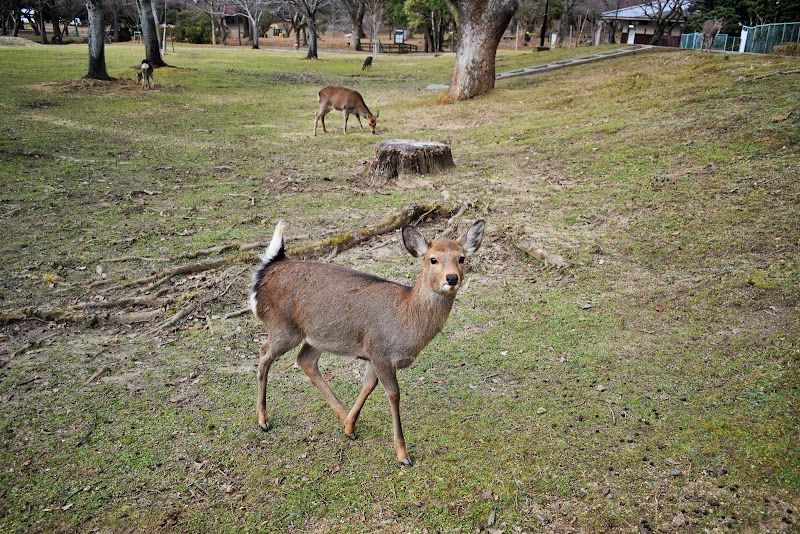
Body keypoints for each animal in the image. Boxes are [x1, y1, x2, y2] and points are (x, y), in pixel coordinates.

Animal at [250, 220, 484, 466]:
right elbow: (393, 394)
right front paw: (403, 454)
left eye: (461, 258)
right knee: (264, 353)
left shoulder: (372, 354)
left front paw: (349, 427)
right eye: (433, 259)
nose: (452, 278)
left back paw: (342, 417)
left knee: (305, 360)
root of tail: (267, 269)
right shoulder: (381, 352)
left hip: (317, 336)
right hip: (283, 326)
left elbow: (368, 386)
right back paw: (263, 420)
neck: (405, 323)